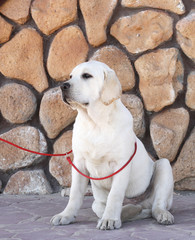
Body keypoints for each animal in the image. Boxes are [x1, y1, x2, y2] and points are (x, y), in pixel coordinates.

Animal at [50, 61, 174, 230]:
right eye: (70, 76)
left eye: (87, 76)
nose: (63, 86)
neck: (95, 123)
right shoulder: (79, 163)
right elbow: (75, 194)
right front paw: (66, 215)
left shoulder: (121, 163)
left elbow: (115, 195)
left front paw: (110, 219)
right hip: (98, 201)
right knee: (117, 208)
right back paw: (131, 209)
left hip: (163, 166)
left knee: (156, 206)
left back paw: (161, 214)